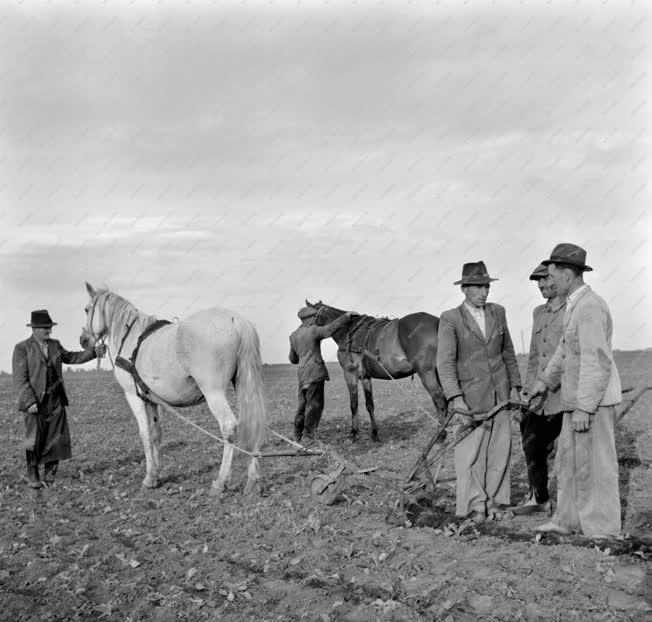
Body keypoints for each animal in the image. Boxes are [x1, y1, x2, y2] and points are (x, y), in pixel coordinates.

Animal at [80, 284, 266, 498]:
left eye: (87, 309)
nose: (83, 340)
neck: (130, 338)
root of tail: (236, 320)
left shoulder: (134, 397)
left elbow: (145, 435)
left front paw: (148, 479)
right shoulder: (151, 399)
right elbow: (155, 435)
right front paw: (155, 476)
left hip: (214, 392)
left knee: (228, 427)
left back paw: (220, 482)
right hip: (244, 384)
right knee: (253, 423)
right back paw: (252, 481)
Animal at [304, 302, 448, 444]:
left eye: (311, 315)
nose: (305, 328)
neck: (348, 330)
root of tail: (437, 322)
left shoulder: (350, 374)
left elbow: (353, 404)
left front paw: (353, 433)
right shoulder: (365, 377)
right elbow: (370, 405)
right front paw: (374, 433)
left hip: (426, 372)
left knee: (439, 400)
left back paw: (440, 434)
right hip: (435, 371)